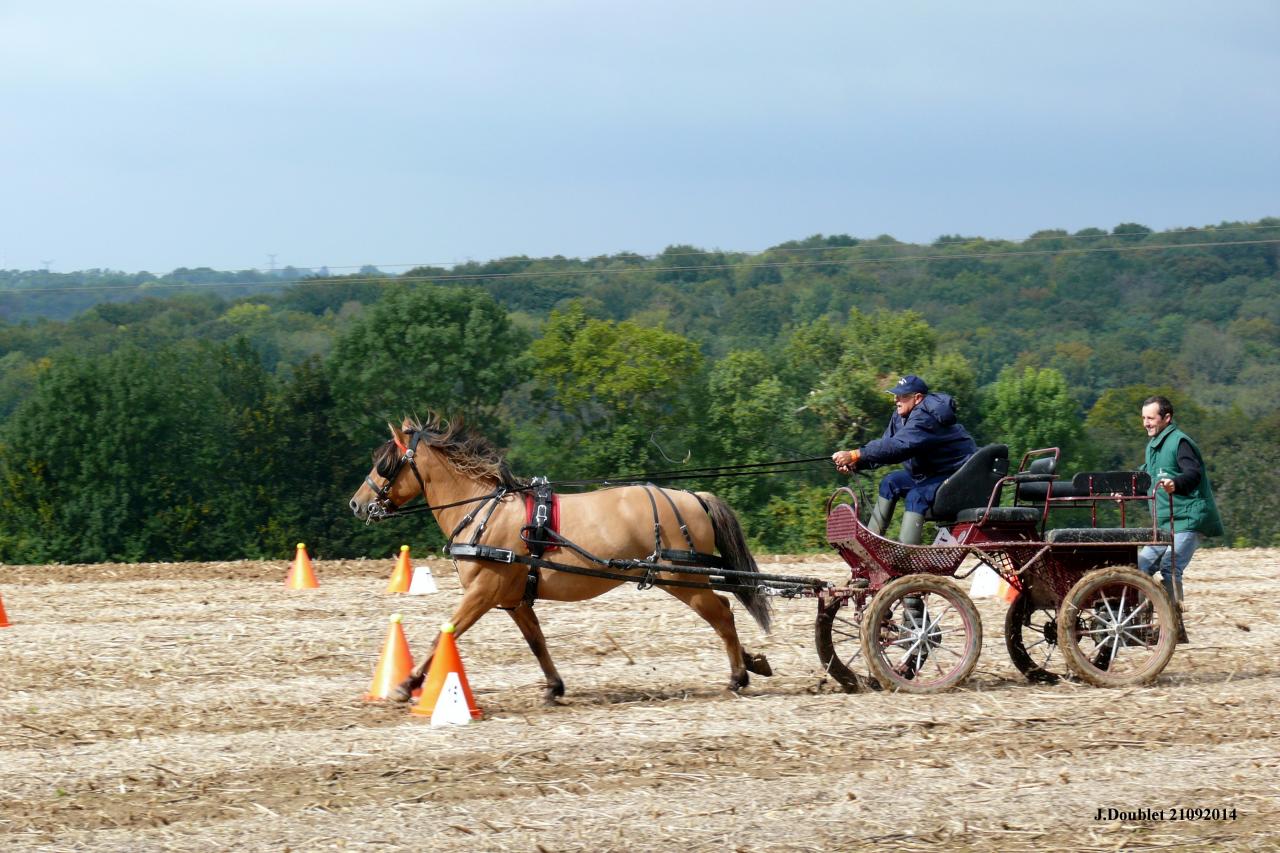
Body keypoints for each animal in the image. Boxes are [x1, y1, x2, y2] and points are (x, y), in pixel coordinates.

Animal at [348, 414, 774, 704]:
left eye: (385, 464)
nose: (357, 503)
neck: (482, 511)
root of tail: (693, 497)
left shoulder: (483, 592)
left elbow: (445, 633)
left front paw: (407, 684)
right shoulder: (514, 599)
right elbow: (537, 642)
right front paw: (554, 686)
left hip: (681, 577)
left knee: (721, 613)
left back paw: (738, 676)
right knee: (722, 614)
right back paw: (751, 662)